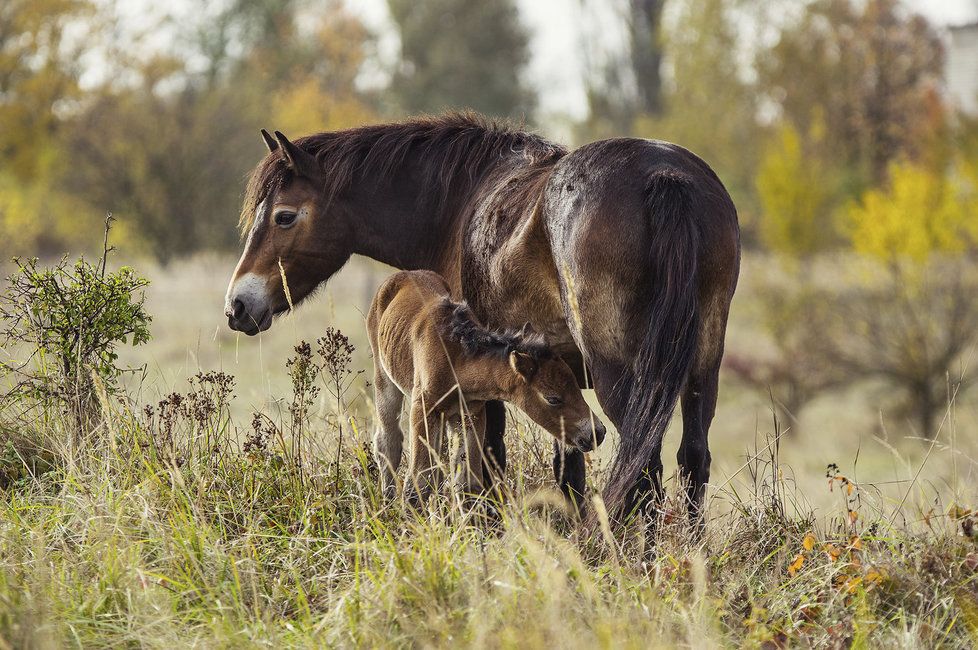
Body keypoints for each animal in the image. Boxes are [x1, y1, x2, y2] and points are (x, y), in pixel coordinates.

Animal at [223, 112, 740, 520]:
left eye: (284, 216)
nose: (237, 306)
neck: (459, 203)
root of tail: (664, 177)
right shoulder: (559, 385)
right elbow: (567, 470)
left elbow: (487, 460)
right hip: (701, 370)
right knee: (692, 459)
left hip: (623, 377)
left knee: (644, 465)